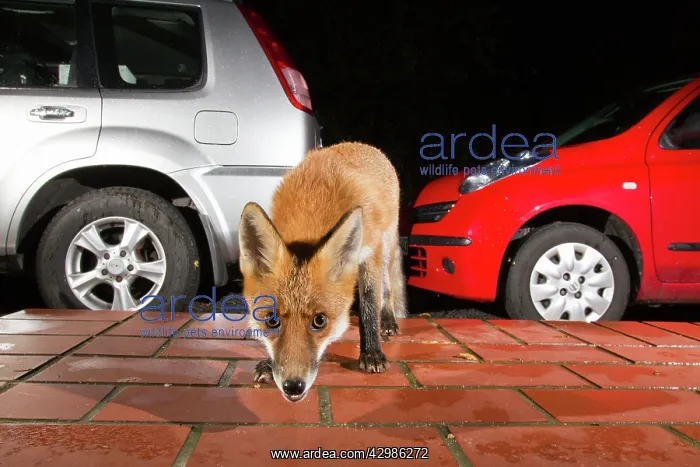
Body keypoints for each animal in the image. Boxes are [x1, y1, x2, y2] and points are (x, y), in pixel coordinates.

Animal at [237, 142, 407, 402]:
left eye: (319, 320)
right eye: (272, 320)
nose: (292, 387)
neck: (312, 202)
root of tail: (364, 145)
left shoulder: (371, 253)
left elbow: (369, 304)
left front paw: (372, 352)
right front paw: (268, 363)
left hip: (386, 246)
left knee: (386, 288)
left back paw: (388, 321)